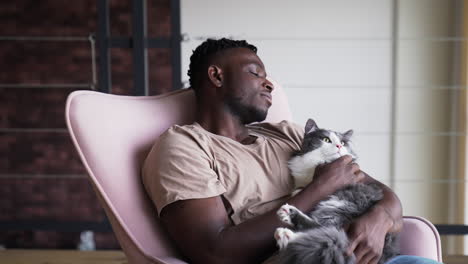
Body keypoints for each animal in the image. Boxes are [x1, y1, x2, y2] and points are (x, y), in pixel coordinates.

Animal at [274, 118, 398, 264]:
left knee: (323, 231)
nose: (339, 146)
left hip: (339, 202)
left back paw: (287, 229)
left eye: (343, 143)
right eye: (326, 139)